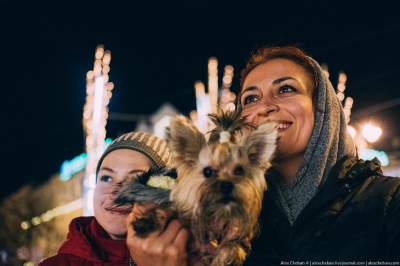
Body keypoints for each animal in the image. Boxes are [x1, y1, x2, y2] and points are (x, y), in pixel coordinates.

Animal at [115, 109, 276, 264]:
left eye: (239, 171)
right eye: (207, 171)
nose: (226, 184)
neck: (216, 214)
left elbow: (232, 245)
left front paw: (226, 255)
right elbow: (169, 212)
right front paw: (146, 221)